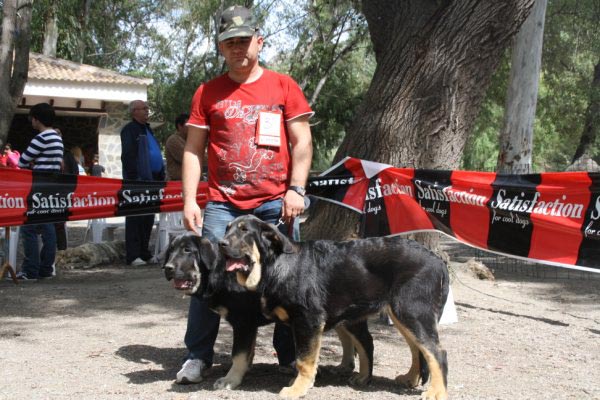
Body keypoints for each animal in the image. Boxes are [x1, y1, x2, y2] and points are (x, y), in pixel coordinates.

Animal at [162, 234, 372, 390]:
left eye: (187, 251)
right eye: (170, 251)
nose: (168, 268)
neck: (221, 273)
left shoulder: (243, 322)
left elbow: (238, 354)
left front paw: (231, 380)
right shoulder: (248, 325)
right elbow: (246, 353)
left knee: (365, 342)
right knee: (348, 340)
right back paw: (344, 367)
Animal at [218, 216, 448, 400]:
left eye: (244, 230)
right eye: (227, 229)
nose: (220, 243)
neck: (277, 265)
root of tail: (438, 260)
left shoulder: (308, 321)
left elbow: (304, 360)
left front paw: (298, 388)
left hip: (412, 313)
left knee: (437, 352)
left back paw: (437, 392)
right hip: (402, 315)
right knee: (416, 349)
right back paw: (407, 378)